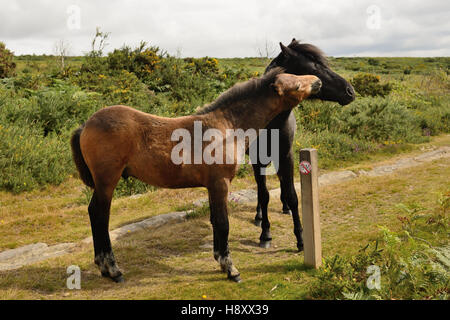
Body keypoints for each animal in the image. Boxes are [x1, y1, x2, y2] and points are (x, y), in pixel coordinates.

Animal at [71, 68, 320, 282]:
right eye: (297, 85)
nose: (317, 81)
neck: (228, 126)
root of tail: (85, 125)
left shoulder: (211, 185)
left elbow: (215, 221)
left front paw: (219, 259)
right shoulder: (220, 183)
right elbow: (223, 223)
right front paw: (231, 269)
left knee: (94, 213)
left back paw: (103, 266)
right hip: (107, 181)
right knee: (100, 216)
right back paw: (113, 269)